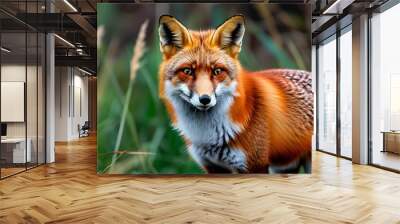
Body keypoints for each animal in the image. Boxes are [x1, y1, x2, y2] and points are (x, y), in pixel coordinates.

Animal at [158, 15, 314, 173]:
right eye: (187, 71)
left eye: (217, 71)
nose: (205, 99)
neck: (207, 136)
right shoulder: (213, 166)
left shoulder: (255, 164)